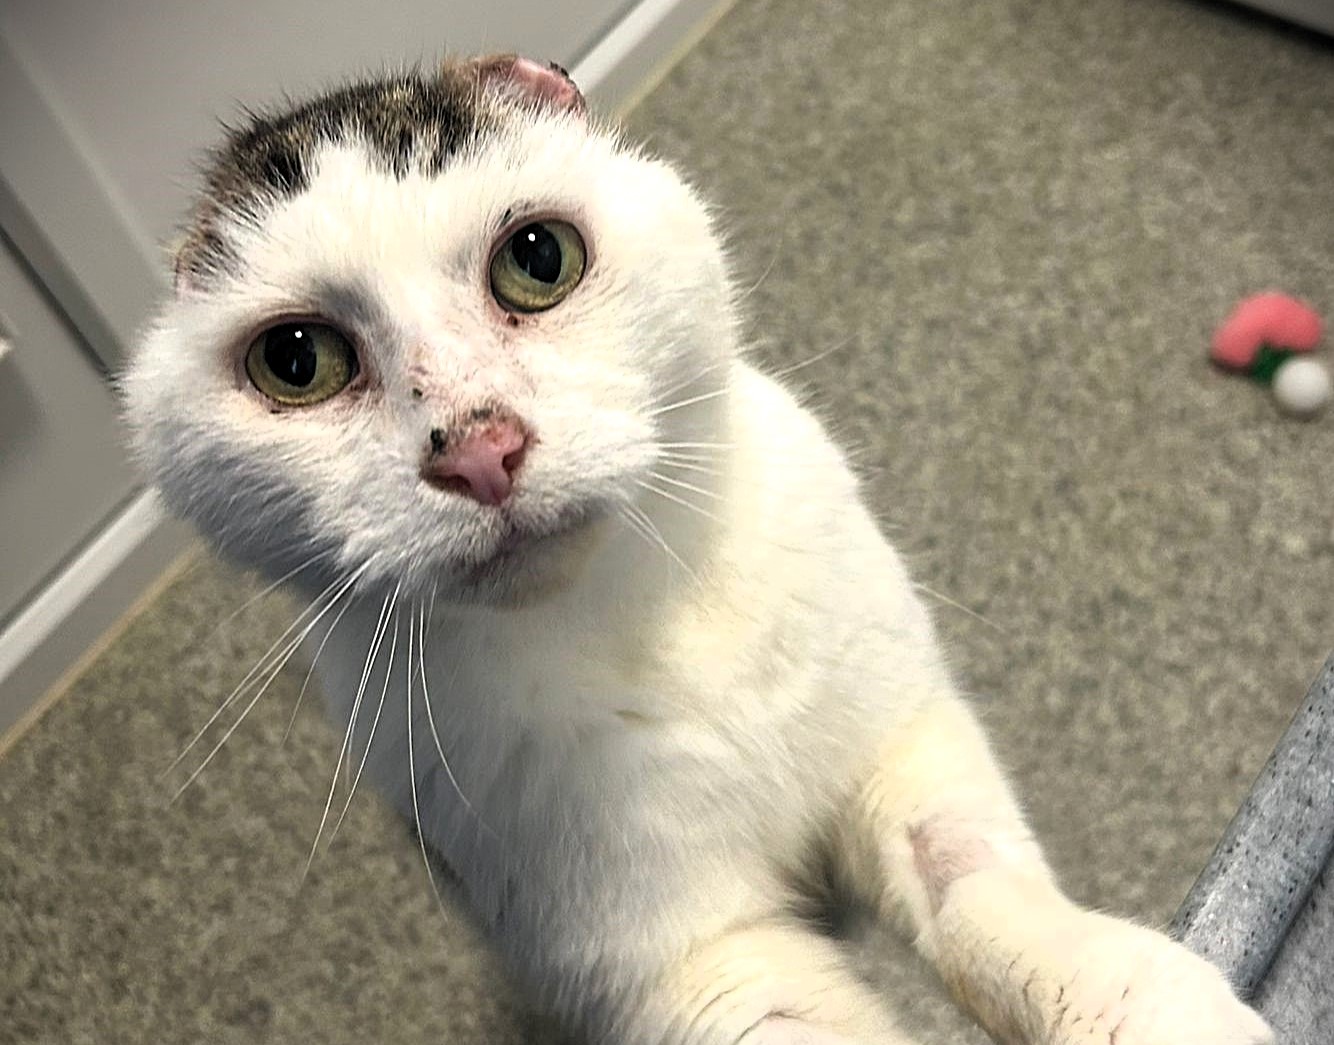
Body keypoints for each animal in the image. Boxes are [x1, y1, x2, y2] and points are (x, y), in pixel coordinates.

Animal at [122, 55, 1269, 1045]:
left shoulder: (903, 746)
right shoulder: (681, 960)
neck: (640, 619)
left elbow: (982, 890)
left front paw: (1138, 1000)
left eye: (537, 259)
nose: (482, 449)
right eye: (296, 360)